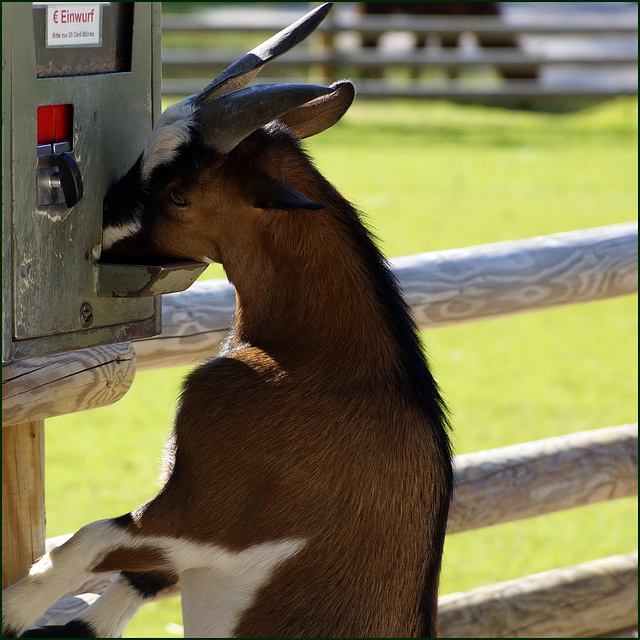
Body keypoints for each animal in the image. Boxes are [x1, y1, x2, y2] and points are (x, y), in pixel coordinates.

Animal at [1, 3, 450, 636]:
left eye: (180, 194)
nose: (98, 230)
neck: (322, 360)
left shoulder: (203, 515)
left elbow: (85, 543)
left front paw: (9, 613)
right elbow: (131, 577)